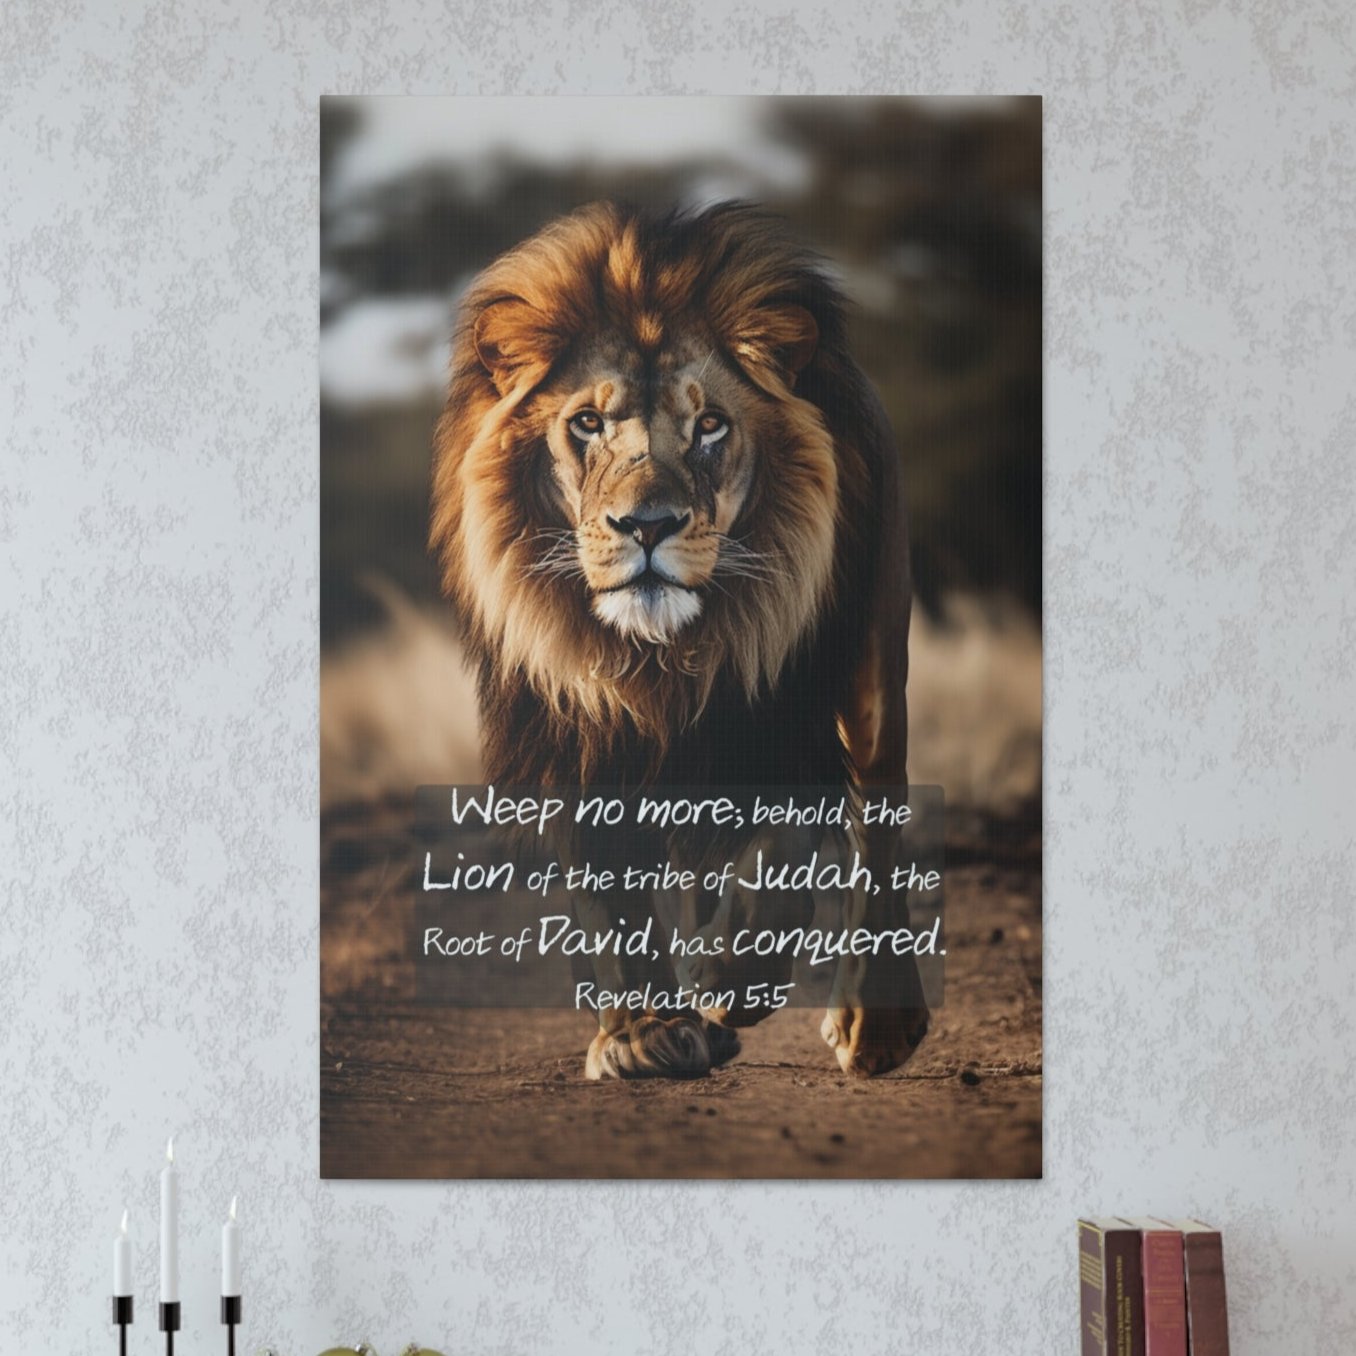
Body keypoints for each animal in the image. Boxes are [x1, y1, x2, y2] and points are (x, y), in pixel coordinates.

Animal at [430, 201, 929, 1079]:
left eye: (710, 426)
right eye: (586, 423)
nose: (648, 524)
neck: (664, 658)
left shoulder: (783, 711)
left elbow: (781, 853)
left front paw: (732, 979)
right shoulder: (575, 724)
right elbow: (609, 891)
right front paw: (645, 1033)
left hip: (871, 672)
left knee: (876, 814)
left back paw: (870, 1025)